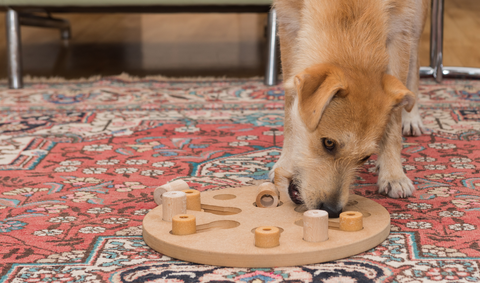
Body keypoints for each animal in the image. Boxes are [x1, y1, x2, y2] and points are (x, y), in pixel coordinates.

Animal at [268, 0, 430, 220]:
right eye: (328, 143)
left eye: (365, 158)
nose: (331, 210)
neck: (348, 9)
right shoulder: (288, 25)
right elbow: (289, 105)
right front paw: (284, 160)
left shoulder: (401, 28)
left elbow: (394, 121)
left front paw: (393, 174)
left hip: (417, 19)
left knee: (415, 63)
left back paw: (411, 118)